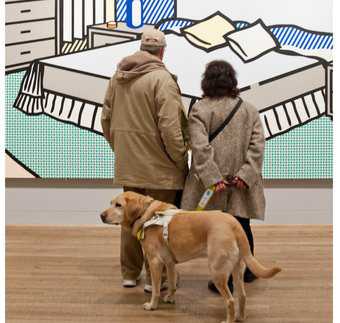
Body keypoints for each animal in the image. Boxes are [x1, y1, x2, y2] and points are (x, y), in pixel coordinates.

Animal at [101, 192, 282, 323]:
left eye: (118, 205)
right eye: (110, 203)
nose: (101, 215)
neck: (147, 213)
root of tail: (235, 224)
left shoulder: (155, 262)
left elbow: (156, 289)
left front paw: (152, 305)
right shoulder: (170, 263)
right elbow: (172, 284)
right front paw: (170, 298)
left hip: (217, 271)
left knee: (230, 301)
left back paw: (229, 320)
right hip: (237, 269)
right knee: (242, 296)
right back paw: (240, 317)